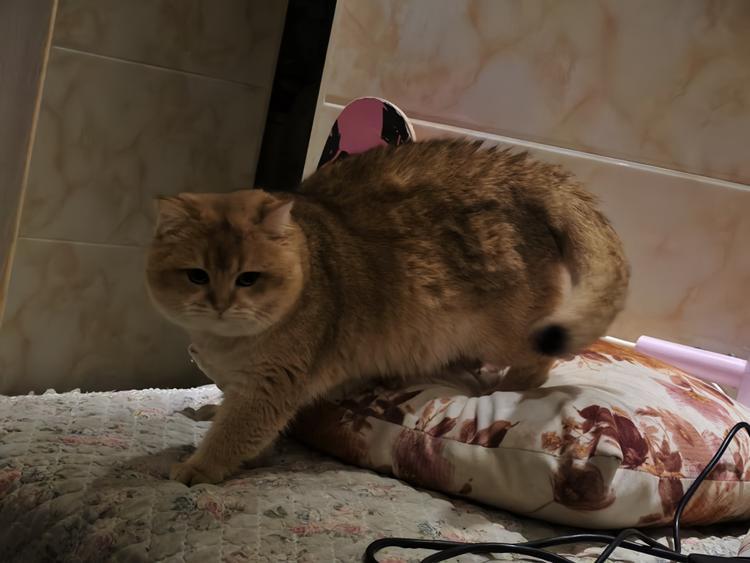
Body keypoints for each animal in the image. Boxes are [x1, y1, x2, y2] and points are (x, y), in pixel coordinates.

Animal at [146, 139, 629, 485]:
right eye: (196, 275)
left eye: (249, 278)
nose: (220, 303)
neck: (224, 346)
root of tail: (529, 172)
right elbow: (241, 424)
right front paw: (213, 419)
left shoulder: (268, 389)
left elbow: (234, 434)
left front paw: (197, 468)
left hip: (506, 330)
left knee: (540, 360)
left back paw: (503, 387)